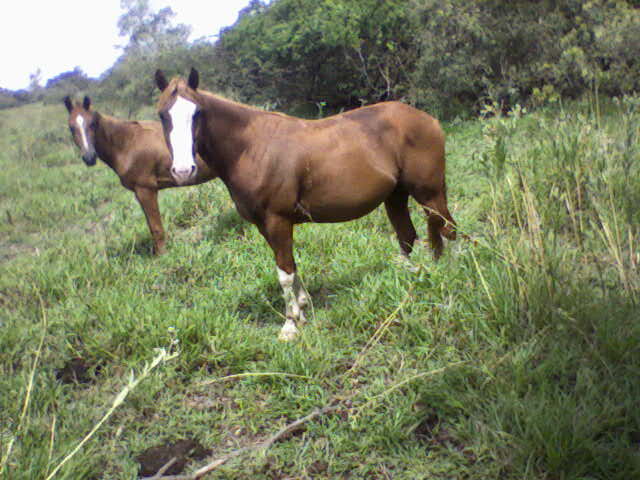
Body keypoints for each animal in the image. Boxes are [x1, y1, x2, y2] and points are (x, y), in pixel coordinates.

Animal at [63, 95, 218, 256]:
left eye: (92, 124)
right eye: (71, 127)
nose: (89, 157)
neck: (127, 143)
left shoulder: (146, 190)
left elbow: (156, 228)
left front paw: (163, 256)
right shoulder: (139, 193)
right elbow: (151, 227)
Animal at [154, 69, 456, 342]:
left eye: (197, 113)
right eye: (162, 115)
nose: (183, 170)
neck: (251, 147)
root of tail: (428, 119)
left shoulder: (277, 220)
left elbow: (284, 274)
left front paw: (290, 325)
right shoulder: (266, 225)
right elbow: (290, 266)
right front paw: (302, 306)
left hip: (429, 193)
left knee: (447, 228)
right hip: (395, 195)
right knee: (408, 236)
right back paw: (408, 279)